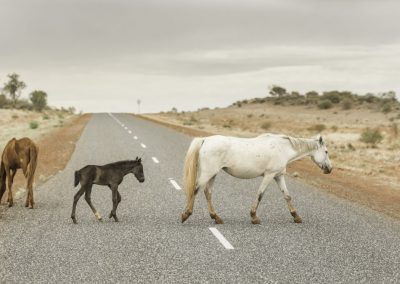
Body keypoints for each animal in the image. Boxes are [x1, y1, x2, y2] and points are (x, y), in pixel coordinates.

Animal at [181, 133, 332, 224]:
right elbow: (260, 194)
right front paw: (254, 217)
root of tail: (205, 140)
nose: (330, 169)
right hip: (208, 173)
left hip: (212, 174)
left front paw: (296, 217)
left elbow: (287, 196)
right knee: (195, 190)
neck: (283, 148)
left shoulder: (278, 176)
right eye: (326, 151)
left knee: (208, 193)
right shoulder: (269, 175)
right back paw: (186, 214)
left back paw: (216, 217)